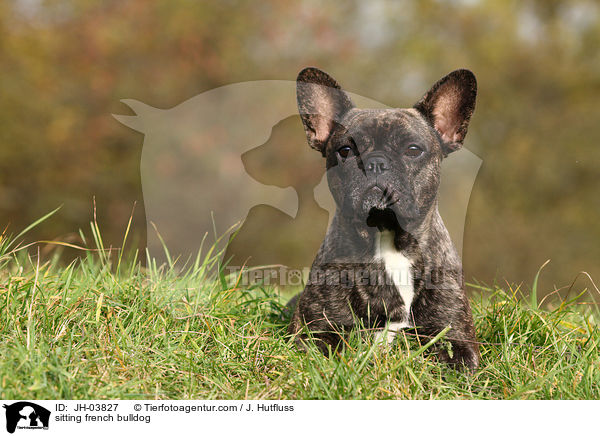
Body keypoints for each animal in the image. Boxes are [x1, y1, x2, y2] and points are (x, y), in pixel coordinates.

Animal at [288, 66, 480, 370]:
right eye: (345, 151)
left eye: (413, 150)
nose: (375, 162)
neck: (388, 238)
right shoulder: (315, 331)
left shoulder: (457, 340)